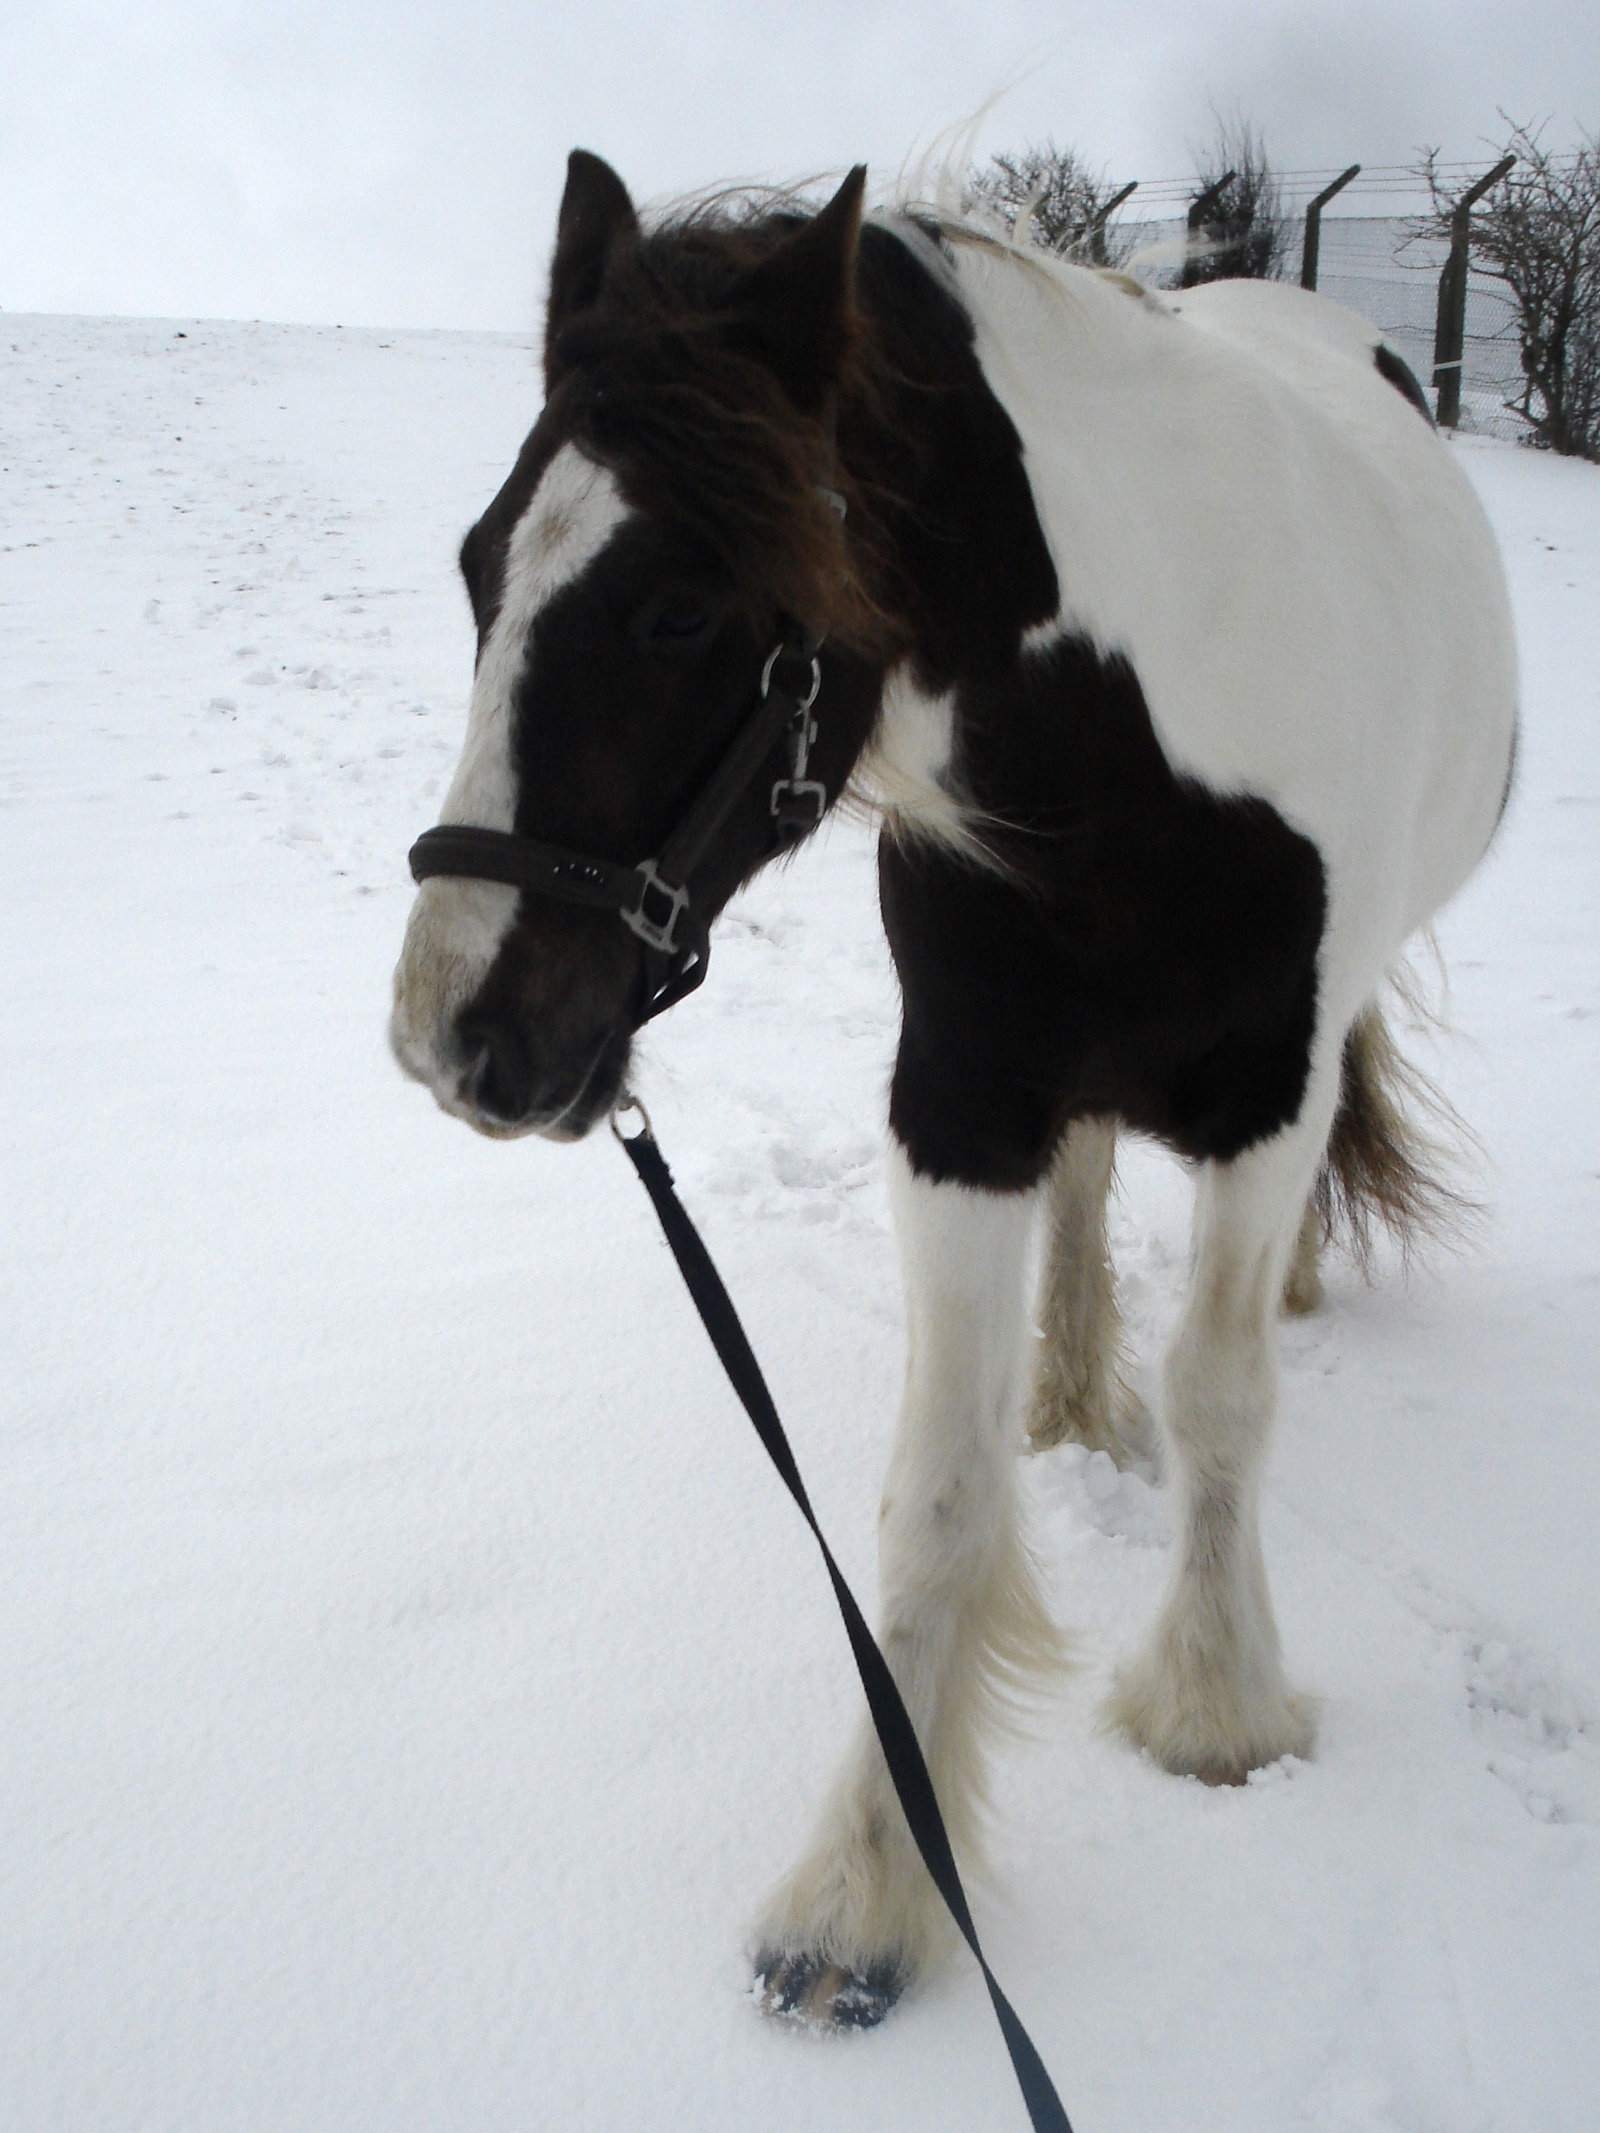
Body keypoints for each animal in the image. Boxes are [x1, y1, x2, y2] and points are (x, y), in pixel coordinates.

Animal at [389, 151, 1518, 2032]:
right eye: (484, 563)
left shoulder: (1265, 1096)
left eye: (683, 604)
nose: (451, 1034)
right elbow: (936, 1493)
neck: (1144, 743)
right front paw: (866, 1884)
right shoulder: (964, 1095)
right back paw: (1066, 1384)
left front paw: (1215, 1705)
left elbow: (1222, 1397)